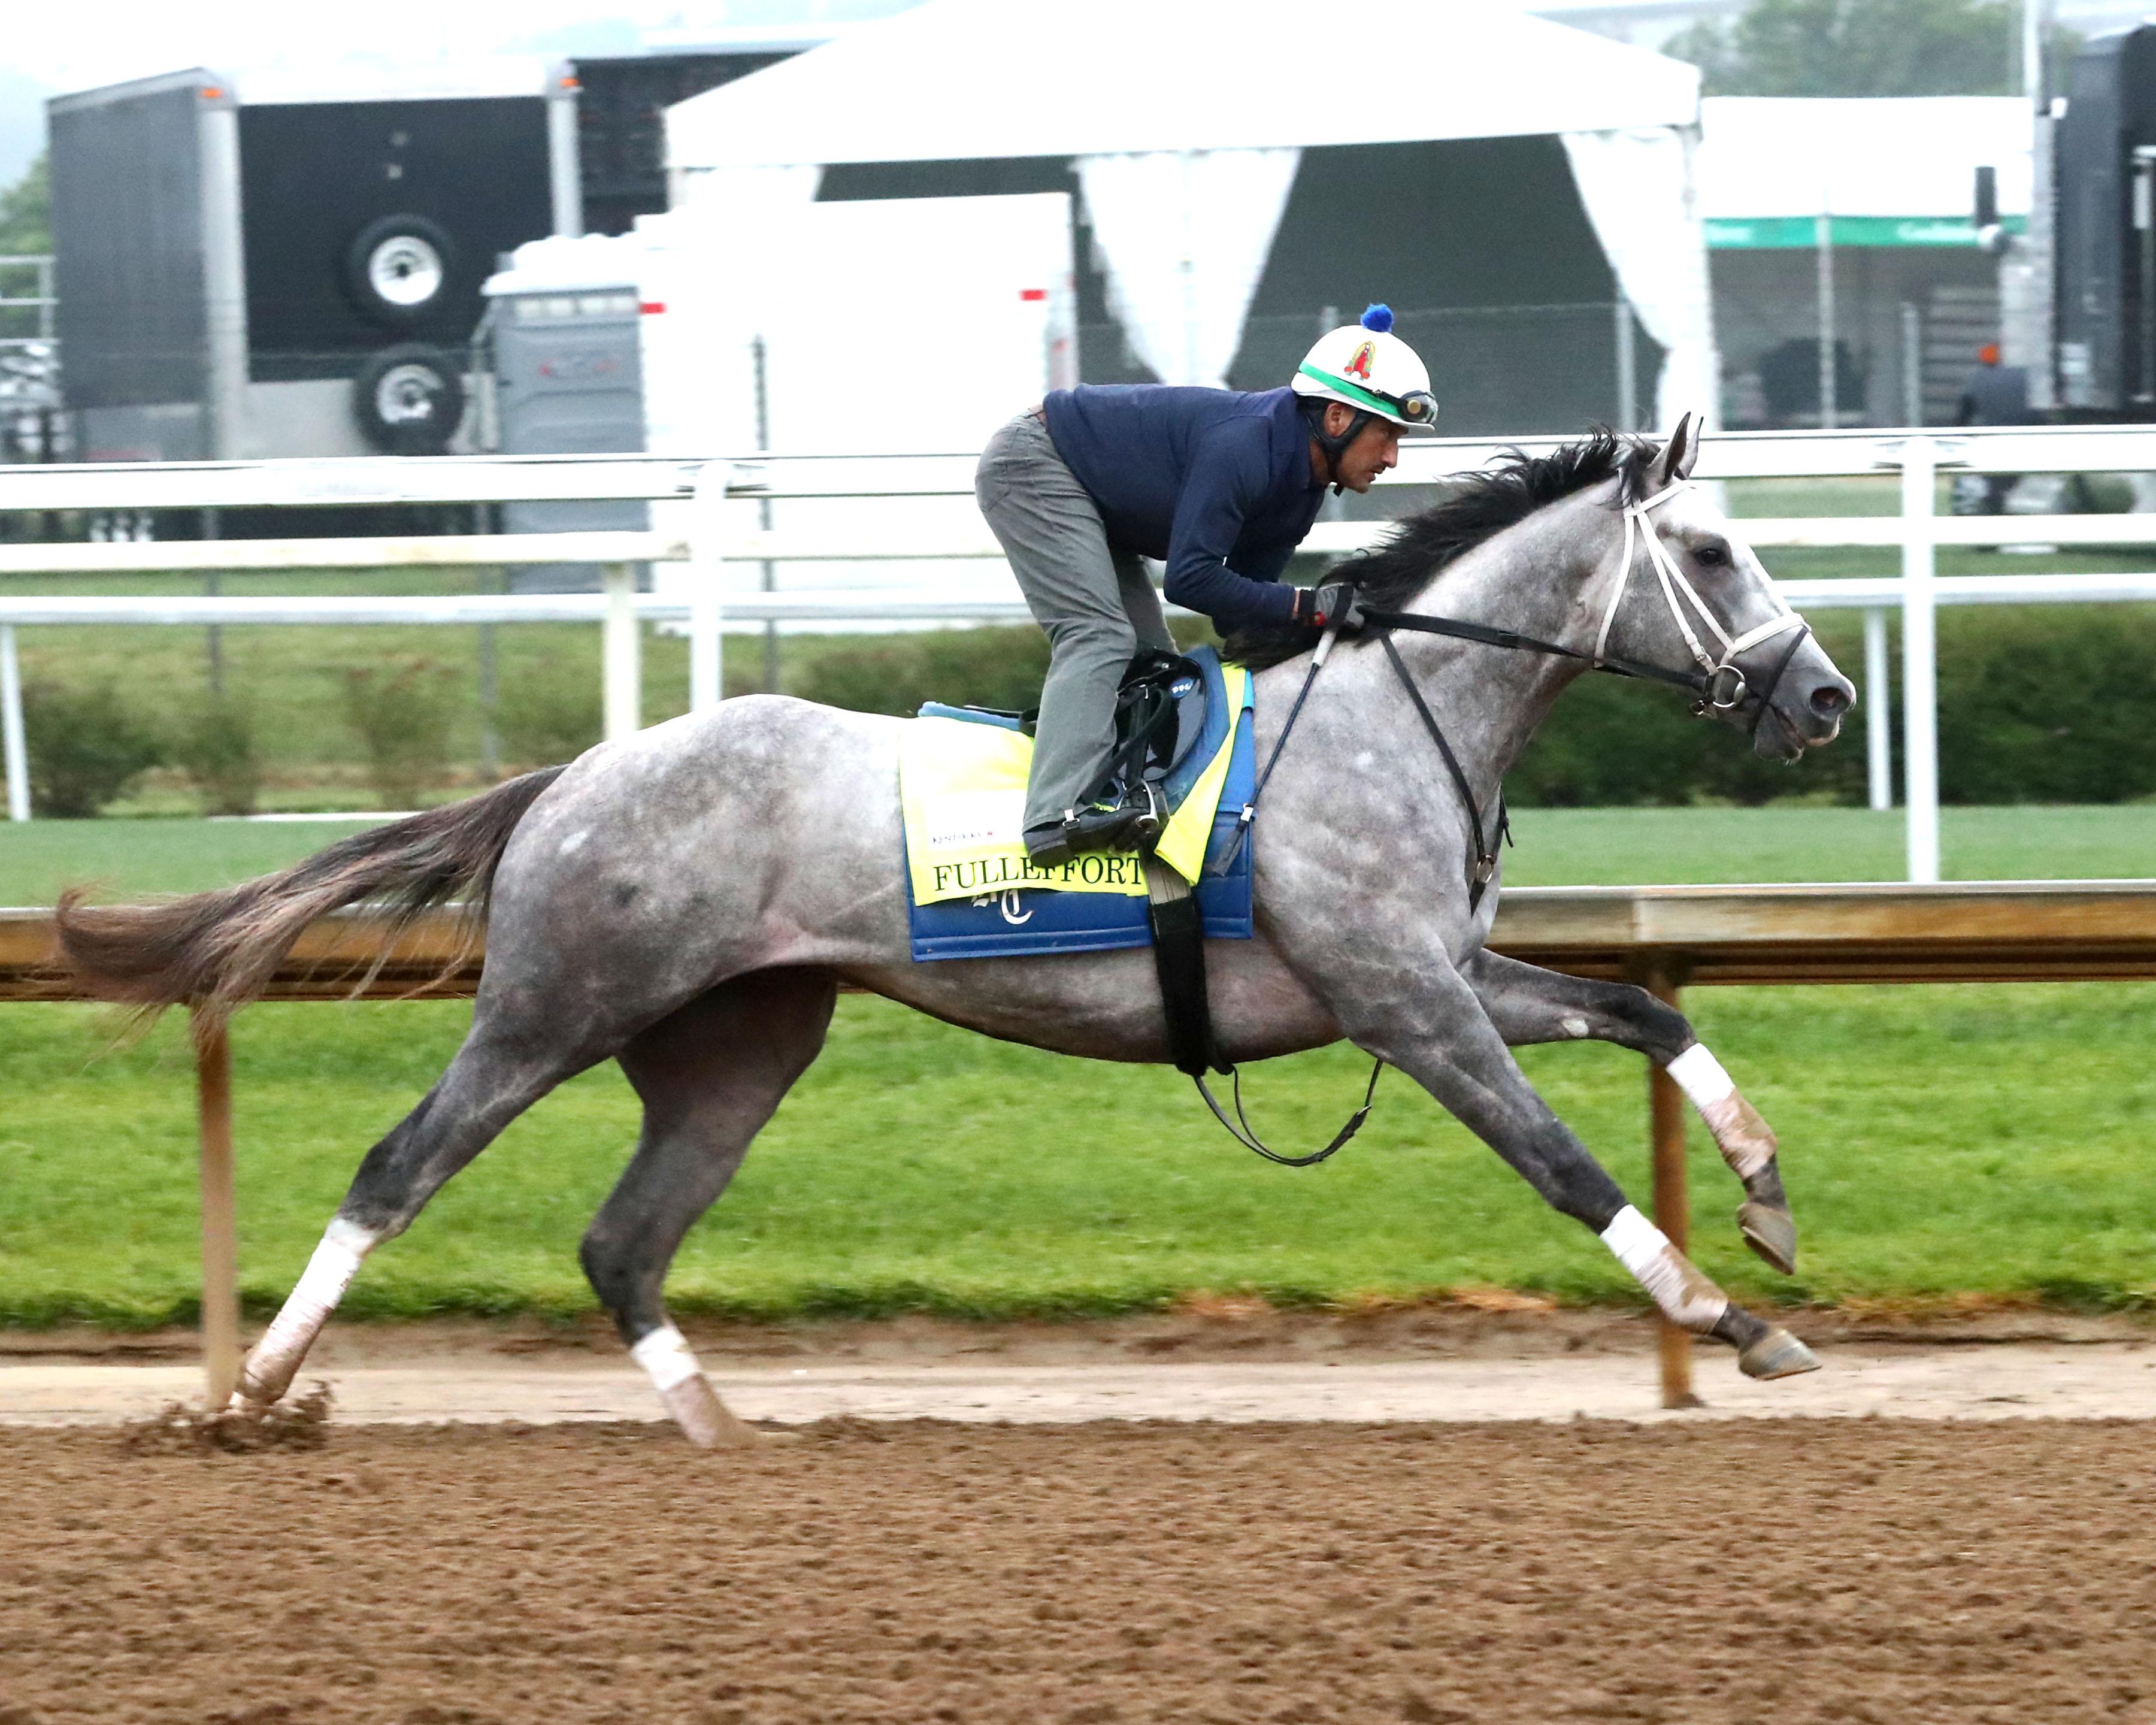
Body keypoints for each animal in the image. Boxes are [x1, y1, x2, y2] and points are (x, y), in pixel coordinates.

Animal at [56, 417, 1854, 1447]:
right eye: (1712, 550)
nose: (1828, 696)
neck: (1395, 716)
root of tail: (572, 771)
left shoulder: (1447, 972)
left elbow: (1651, 1013)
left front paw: (1768, 1204)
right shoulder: (1405, 1001)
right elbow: (1566, 1163)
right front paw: (1731, 1319)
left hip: (739, 1044)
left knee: (622, 1241)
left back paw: (721, 1428)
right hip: (556, 1006)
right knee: (398, 1168)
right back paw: (256, 1393)